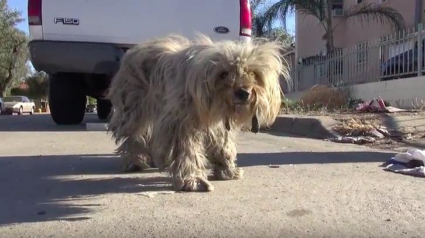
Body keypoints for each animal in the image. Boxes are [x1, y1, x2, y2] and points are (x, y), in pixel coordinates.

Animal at [105, 34, 286, 192]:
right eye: (224, 74)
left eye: (253, 73)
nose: (243, 92)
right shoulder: (180, 123)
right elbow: (186, 151)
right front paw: (191, 179)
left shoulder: (219, 125)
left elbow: (223, 145)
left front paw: (226, 169)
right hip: (133, 110)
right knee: (134, 135)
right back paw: (136, 160)